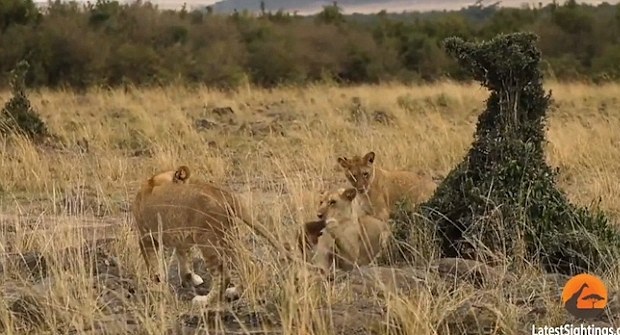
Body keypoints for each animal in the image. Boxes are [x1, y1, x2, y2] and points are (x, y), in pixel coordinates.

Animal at [130, 165, 296, 308]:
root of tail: (226, 195)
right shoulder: (182, 238)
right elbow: (183, 258)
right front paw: (190, 278)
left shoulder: (146, 237)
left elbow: (153, 266)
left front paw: (157, 287)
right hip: (228, 237)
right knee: (249, 266)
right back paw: (234, 293)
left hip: (207, 239)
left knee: (224, 275)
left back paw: (205, 300)